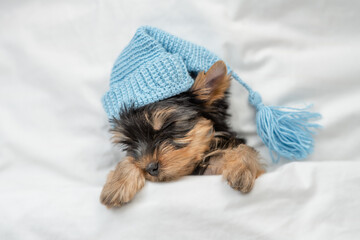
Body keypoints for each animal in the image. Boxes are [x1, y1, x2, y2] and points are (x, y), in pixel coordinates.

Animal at [100, 60, 262, 208]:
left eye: (168, 126)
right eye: (130, 144)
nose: (150, 168)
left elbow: (246, 149)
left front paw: (242, 169)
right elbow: (130, 160)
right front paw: (117, 183)